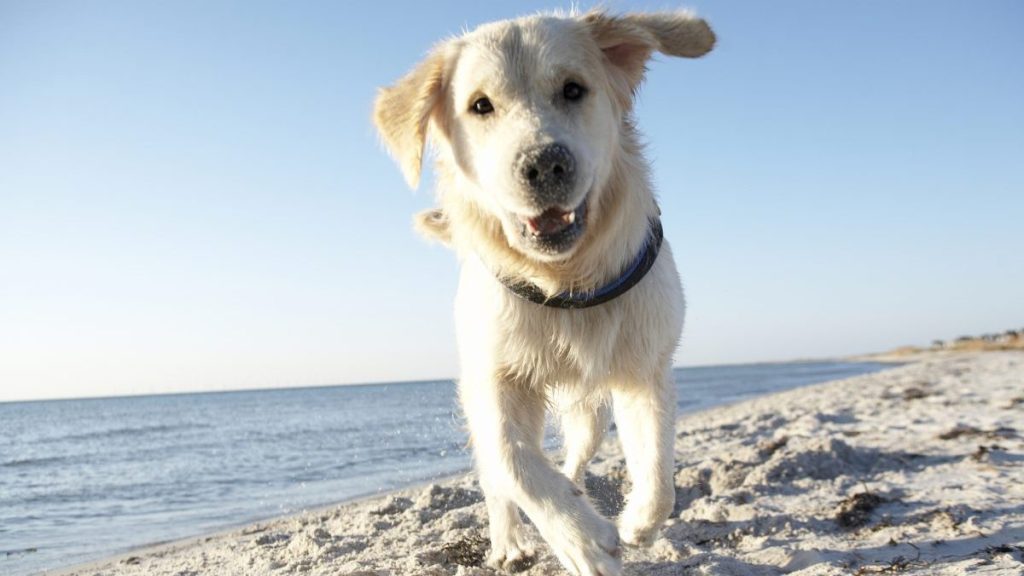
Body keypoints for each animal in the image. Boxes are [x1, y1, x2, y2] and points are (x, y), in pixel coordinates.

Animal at [374, 10, 712, 573]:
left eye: (573, 89)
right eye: (480, 105)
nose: (544, 164)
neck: (565, 285)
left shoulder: (646, 367)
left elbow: (659, 471)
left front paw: (636, 524)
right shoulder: (492, 380)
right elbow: (513, 463)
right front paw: (582, 541)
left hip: (590, 410)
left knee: (574, 455)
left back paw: (578, 489)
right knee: (500, 479)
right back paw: (510, 543)